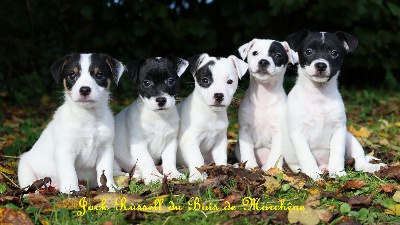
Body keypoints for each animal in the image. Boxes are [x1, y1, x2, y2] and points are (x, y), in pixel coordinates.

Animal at [17, 53, 123, 193]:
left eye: (99, 75)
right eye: (72, 75)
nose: (84, 90)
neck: (88, 117)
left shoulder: (105, 149)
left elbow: (105, 171)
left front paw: (110, 188)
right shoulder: (66, 150)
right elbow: (69, 172)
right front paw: (71, 190)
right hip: (25, 169)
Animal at [111, 55, 188, 185]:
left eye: (171, 81)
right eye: (146, 83)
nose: (161, 100)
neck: (158, 117)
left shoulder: (170, 142)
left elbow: (169, 159)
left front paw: (173, 173)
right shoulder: (139, 144)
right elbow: (147, 160)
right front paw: (153, 177)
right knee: (116, 172)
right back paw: (134, 175)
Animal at [177, 53, 248, 182]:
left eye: (229, 81)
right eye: (205, 80)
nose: (219, 95)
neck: (211, 114)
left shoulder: (220, 140)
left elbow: (221, 157)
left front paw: (223, 169)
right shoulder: (190, 141)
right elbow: (197, 159)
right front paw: (197, 176)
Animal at [236, 38, 296, 171]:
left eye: (278, 55)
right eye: (255, 53)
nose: (263, 61)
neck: (264, 94)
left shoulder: (278, 132)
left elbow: (276, 152)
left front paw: (271, 168)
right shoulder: (245, 129)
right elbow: (247, 150)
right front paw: (250, 166)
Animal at [280, 29, 386, 181]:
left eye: (334, 53)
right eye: (308, 51)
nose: (321, 65)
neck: (319, 95)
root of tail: (324, 166)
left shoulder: (339, 130)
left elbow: (337, 154)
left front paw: (337, 172)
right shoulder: (298, 134)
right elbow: (307, 157)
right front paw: (313, 174)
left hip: (350, 138)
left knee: (359, 161)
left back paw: (373, 167)